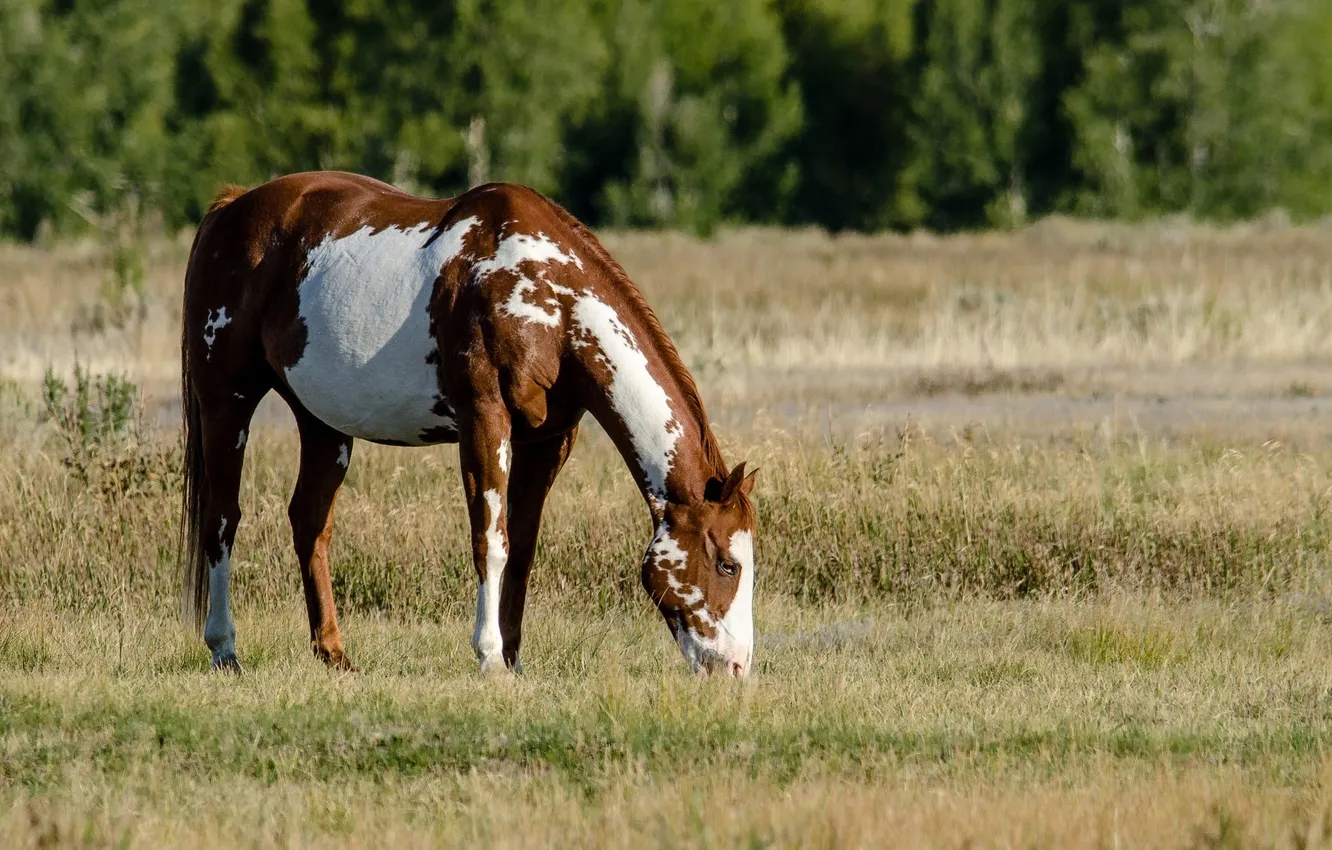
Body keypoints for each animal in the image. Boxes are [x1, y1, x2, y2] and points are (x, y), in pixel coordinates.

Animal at [179, 171, 758, 678]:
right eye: (728, 563)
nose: (735, 668)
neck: (551, 300)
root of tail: (231, 208)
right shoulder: (484, 420)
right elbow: (490, 541)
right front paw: (489, 657)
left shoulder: (549, 439)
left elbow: (521, 549)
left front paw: (513, 659)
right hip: (226, 402)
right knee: (223, 520)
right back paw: (225, 650)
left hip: (322, 422)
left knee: (310, 523)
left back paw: (334, 654)